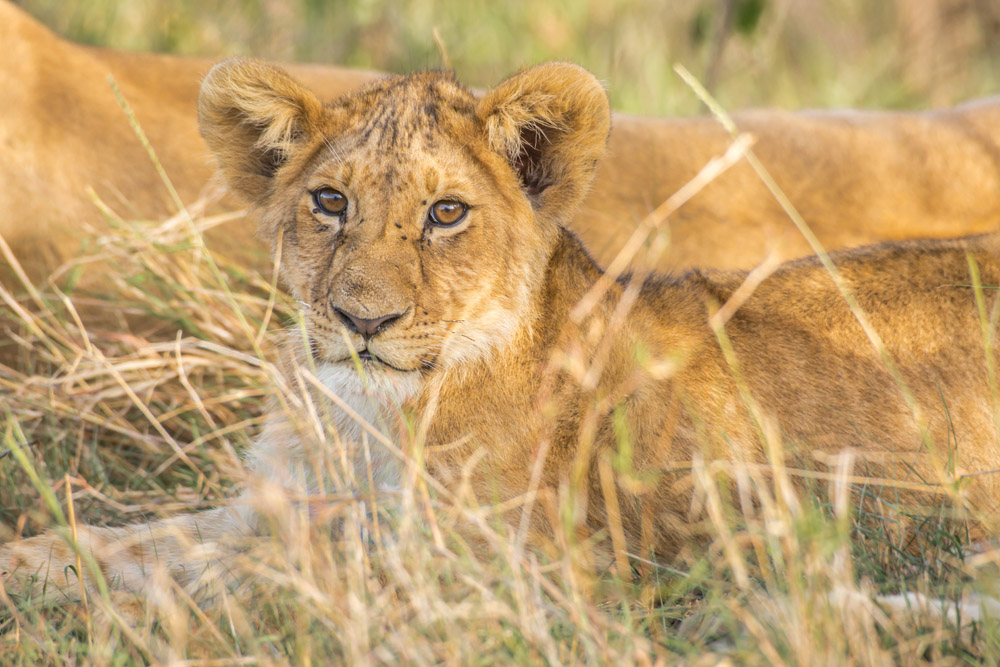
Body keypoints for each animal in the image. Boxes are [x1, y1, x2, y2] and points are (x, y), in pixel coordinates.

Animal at [3, 61, 996, 596]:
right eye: (330, 202)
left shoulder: (519, 569)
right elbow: (144, 540)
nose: (362, 318)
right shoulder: (275, 503)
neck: (360, 416)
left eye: (446, 213)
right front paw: (35, 564)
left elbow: (277, 572)